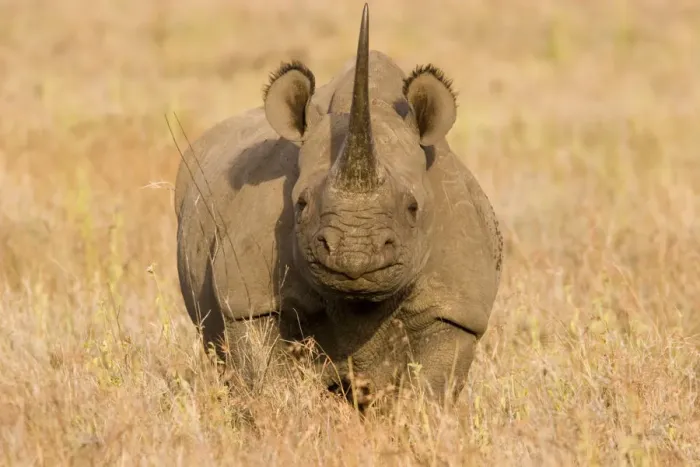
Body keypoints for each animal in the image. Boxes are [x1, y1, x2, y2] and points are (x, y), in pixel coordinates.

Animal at [174, 4, 503, 406]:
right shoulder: (248, 296)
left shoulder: (456, 308)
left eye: (413, 208)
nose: (353, 253)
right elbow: (264, 378)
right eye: (300, 204)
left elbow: (428, 389)